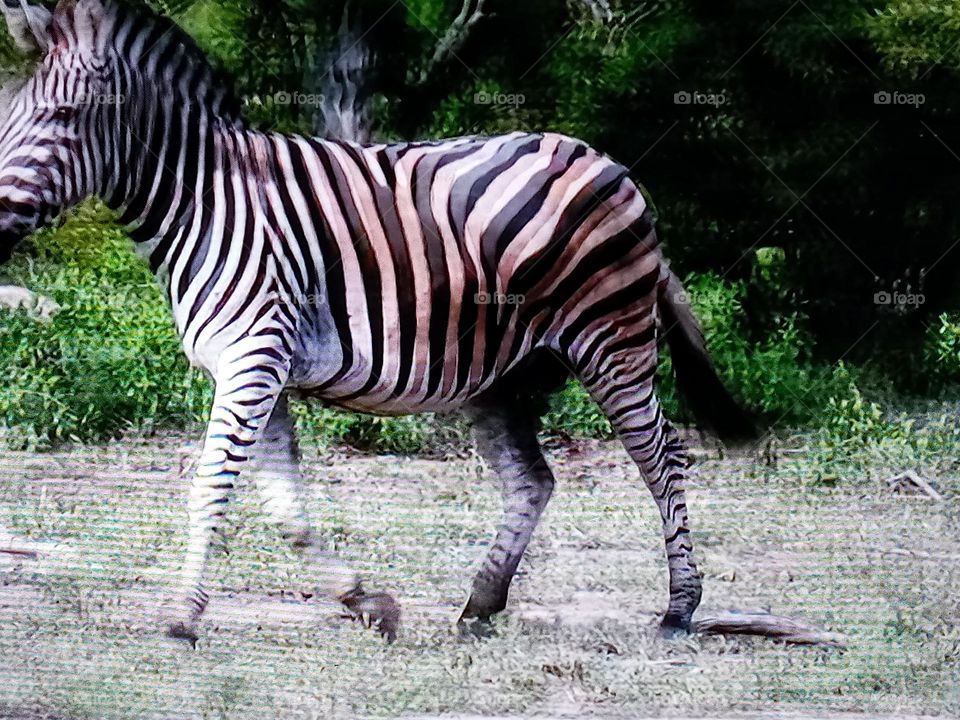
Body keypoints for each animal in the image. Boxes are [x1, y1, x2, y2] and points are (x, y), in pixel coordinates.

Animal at [0, 0, 754, 644]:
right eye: (8, 117)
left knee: (663, 456)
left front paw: (182, 619)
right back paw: (481, 604)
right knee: (534, 480)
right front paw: (367, 603)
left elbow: (212, 486)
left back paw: (679, 608)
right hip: (499, 374)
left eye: (64, 114)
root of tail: (612, 165)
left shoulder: (255, 358)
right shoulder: (257, 368)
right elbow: (285, 507)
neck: (206, 203)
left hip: (611, 340)